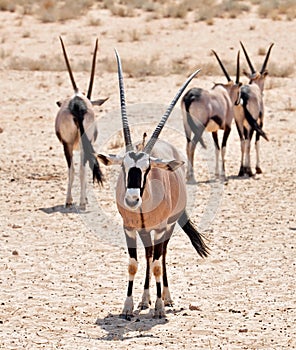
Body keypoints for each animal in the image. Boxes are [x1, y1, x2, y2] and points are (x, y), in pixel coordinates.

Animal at [54, 37, 107, 209]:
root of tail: (77, 105)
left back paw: (72, 200)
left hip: (68, 144)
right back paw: (81, 201)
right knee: (82, 169)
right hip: (80, 142)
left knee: (73, 170)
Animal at [96, 50, 208, 320]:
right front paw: (127, 307)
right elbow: (134, 263)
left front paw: (159, 307)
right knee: (148, 256)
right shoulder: (129, 228)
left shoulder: (159, 228)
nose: (132, 199)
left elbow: (157, 264)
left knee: (161, 255)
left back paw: (164, 298)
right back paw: (145, 299)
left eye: (147, 168)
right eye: (124, 167)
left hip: (166, 228)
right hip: (146, 232)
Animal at [180, 51, 240, 183]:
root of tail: (189, 97)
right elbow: (223, 148)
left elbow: (216, 149)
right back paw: (191, 177)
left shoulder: (214, 130)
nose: (238, 102)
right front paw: (223, 175)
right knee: (192, 145)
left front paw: (216, 174)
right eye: (239, 91)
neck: (225, 94)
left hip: (187, 126)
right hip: (199, 127)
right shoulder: (228, 127)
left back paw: (188, 175)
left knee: (187, 145)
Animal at [235, 42, 274, 176]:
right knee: (249, 142)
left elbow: (246, 141)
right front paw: (257, 168)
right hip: (251, 123)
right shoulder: (259, 122)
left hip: (239, 122)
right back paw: (250, 170)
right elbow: (256, 141)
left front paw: (246, 168)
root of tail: (243, 94)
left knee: (243, 141)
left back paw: (241, 170)